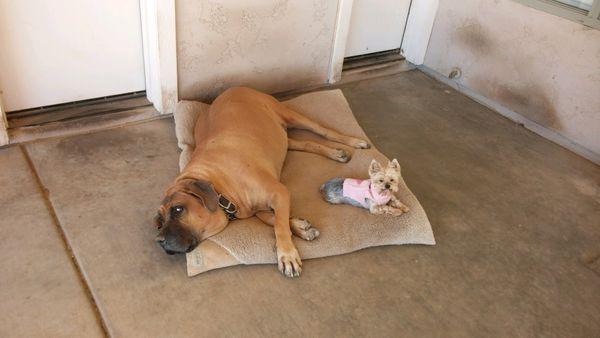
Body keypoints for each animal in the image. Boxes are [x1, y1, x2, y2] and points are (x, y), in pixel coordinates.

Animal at [154, 87, 370, 278]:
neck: (219, 188)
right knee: (307, 143)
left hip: (291, 115)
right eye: (159, 222)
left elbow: (280, 227)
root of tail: (232, 89)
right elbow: (274, 220)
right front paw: (300, 227)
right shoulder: (260, 209)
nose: (159, 240)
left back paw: (354, 142)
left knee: (325, 131)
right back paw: (335, 153)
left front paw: (287, 255)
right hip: (282, 138)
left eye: (178, 209)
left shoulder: (279, 192)